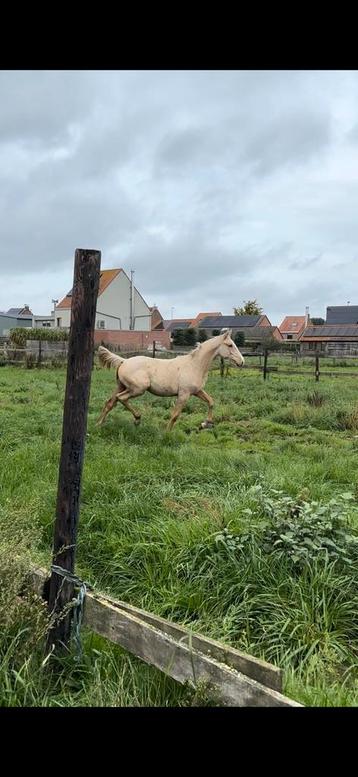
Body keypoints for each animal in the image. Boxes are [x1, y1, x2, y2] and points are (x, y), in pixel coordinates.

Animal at [96, 328, 245, 430]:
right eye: (230, 345)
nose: (242, 362)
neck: (195, 365)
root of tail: (124, 361)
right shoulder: (184, 394)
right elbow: (175, 415)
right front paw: (166, 434)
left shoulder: (197, 391)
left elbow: (211, 402)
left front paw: (205, 423)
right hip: (138, 389)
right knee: (121, 398)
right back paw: (137, 419)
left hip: (121, 386)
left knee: (110, 402)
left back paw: (99, 424)